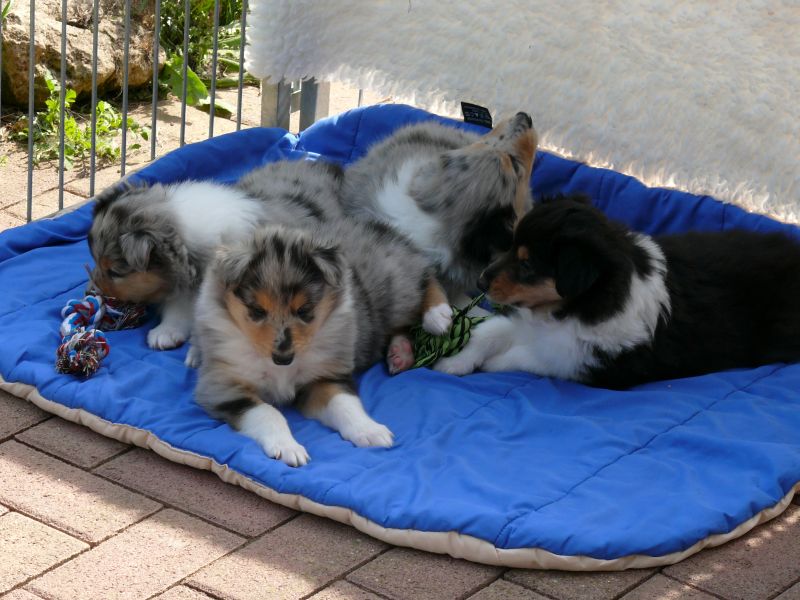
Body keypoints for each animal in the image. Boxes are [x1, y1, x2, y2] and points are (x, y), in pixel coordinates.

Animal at [192, 216, 446, 466]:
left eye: (304, 310)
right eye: (257, 311)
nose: (283, 358)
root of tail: (380, 226)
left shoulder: (325, 376)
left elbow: (344, 403)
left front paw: (370, 431)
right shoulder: (224, 387)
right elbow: (268, 413)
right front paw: (289, 448)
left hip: (397, 286)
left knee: (426, 276)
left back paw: (438, 315)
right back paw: (401, 353)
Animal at [434, 194, 800, 388]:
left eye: (527, 265)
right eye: (510, 246)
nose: (481, 282)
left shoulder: (585, 362)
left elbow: (526, 356)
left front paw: (489, 364)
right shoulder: (529, 322)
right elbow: (490, 332)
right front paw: (453, 364)